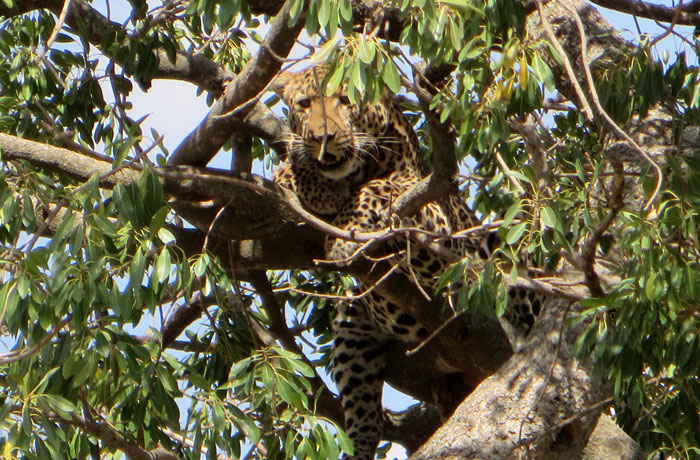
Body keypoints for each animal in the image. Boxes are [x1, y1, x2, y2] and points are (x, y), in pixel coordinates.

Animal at [270, 65, 540, 460]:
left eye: (345, 99)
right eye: (305, 104)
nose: (323, 138)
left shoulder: (437, 226)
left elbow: (381, 187)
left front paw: (344, 231)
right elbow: (288, 171)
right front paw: (304, 175)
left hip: (504, 248)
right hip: (351, 321)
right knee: (363, 413)